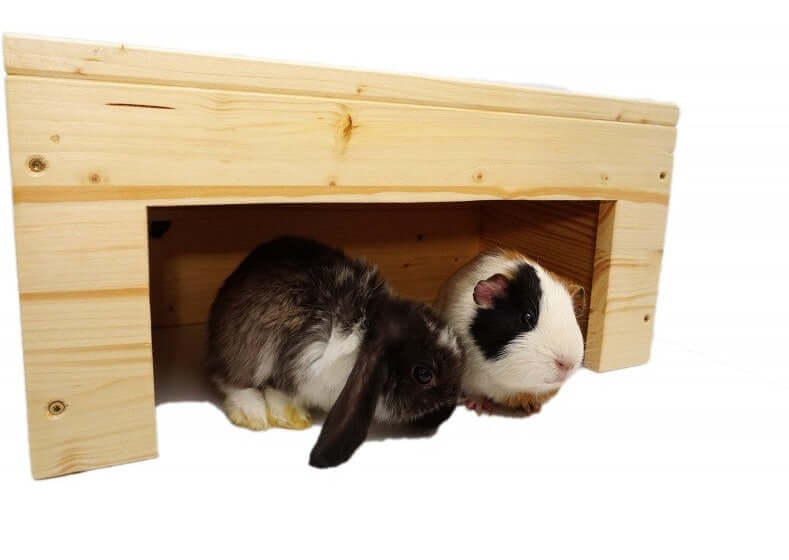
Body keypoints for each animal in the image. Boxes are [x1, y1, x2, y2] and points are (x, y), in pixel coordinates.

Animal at [207, 236, 464, 468]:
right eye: (423, 374)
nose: (444, 414)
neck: (366, 329)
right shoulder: (299, 361)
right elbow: (279, 391)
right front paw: (293, 417)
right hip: (244, 347)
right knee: (231, 380)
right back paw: (253, 413)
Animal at [436, 248, 585, 416]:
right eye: (527, 317)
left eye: (572, 316)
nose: (567, 364)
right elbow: (475, 393)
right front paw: (479, 407)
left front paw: (533, 408)